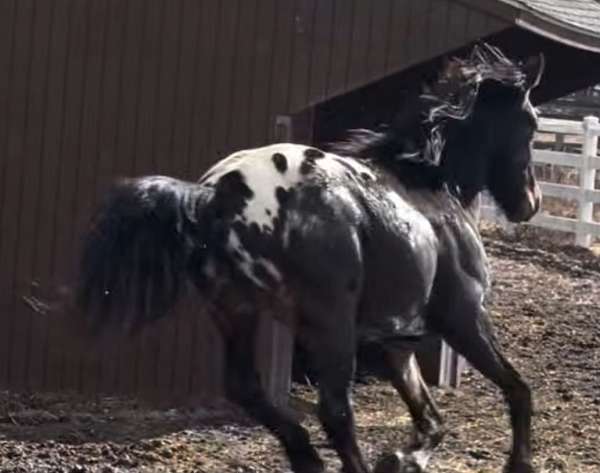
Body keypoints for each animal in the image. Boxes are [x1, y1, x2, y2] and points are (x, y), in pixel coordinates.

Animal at [78, 45, 544, 472]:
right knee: (335, 410)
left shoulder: (396, 342)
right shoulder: (463, 318)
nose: (531, 202)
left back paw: (307, 458)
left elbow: (431, 419)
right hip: (330, 324)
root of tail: (214, 197)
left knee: (247, 389)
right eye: (532, 125)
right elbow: (517, 388)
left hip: (235, 310)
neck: (429, 185)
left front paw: (401, 458)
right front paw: (518, 463)